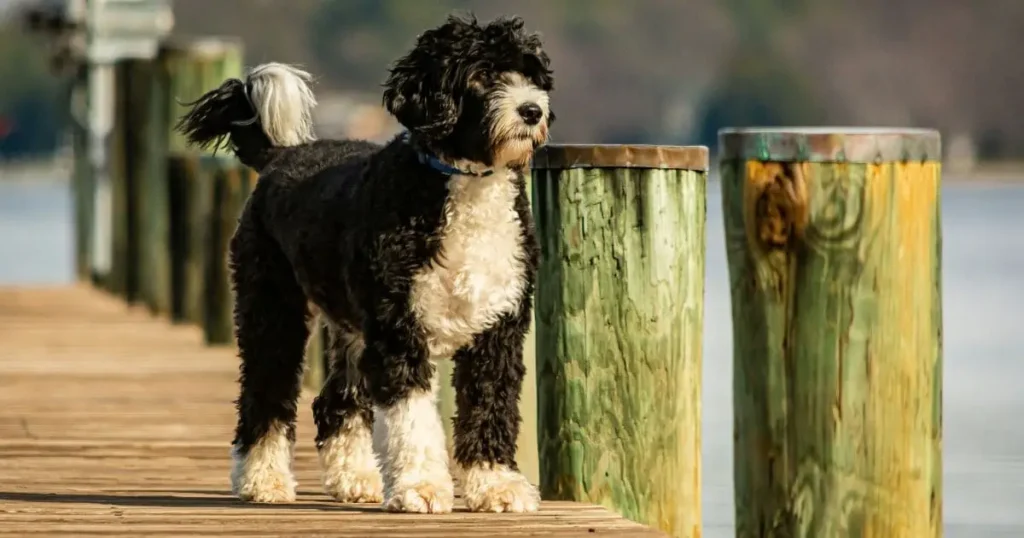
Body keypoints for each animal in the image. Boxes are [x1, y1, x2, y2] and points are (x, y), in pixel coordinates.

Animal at [178, 14, 561, 514]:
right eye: (481, 75)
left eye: (531, 75)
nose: (532, 111)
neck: (461, 182)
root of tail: (281, 156)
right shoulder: (399, 330)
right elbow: (413, 420)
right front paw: (422, 486)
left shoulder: (498, 328)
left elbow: (489, 405)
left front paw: (496, 485)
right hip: (273, 308)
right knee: (266, 392)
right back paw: (262, 479)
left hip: (351, 329)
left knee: (333, 402)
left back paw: (354, 478)